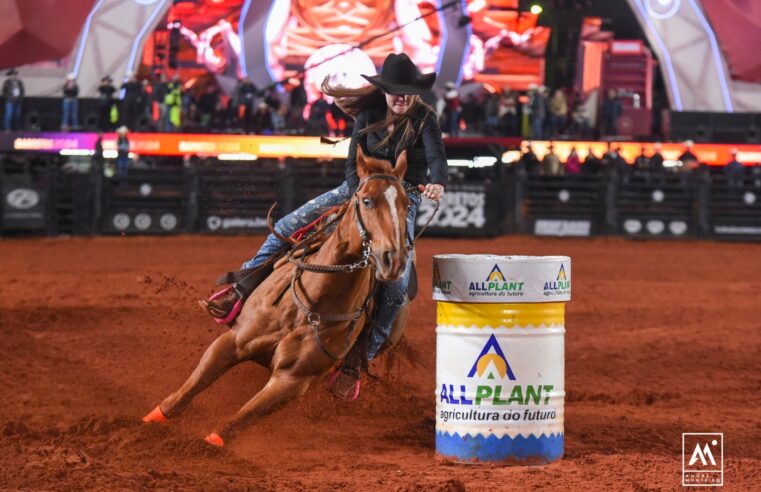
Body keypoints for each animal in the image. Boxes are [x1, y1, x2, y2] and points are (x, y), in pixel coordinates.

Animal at [145, 146, 412, 446]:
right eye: (366, 201)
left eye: (407, 206)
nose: (393, 259)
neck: (308, 305)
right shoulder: (232, 341)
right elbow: (187, 391)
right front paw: (149, 424)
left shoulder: (293, 381)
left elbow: (235, 423)